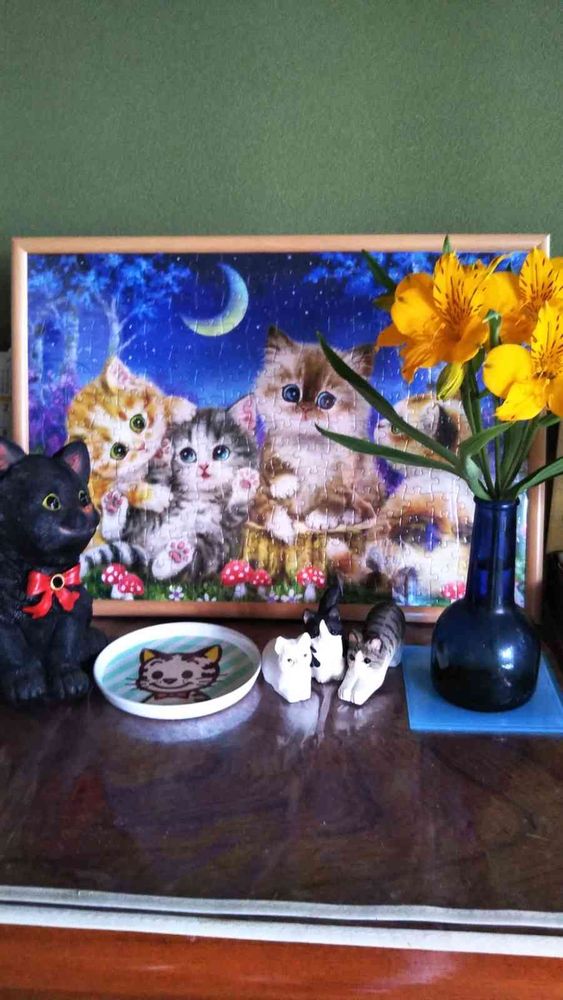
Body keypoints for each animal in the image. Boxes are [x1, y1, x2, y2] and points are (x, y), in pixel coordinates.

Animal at [66, 357, 195, 543]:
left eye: (138, 422)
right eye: (118, 451)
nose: (141, 446)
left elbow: (158, 399)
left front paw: (177, 407)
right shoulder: (94, 484)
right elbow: (127, 488)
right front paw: (158, 497)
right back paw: (113, 509)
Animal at [100, 396, 259, 581]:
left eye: (221, 452)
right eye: (187, 455)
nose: (203, 467)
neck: (201, 496)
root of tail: (149, 554)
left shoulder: (229, 529)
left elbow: (235, 511)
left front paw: (244, 484)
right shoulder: (167, 494)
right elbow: (158, 482)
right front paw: (161, 454)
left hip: (212, 552)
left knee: (180, 569)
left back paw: (174, 556)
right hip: (149, 520)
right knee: (119, 531)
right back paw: (113, 508)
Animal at [251, 326, 383, 547]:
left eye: (326, 401)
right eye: (291, 394)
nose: (305, 408)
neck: (309, 446)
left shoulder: (344, 473)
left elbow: (336, 496)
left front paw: (321, 518)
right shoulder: (259, 485)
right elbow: (270, 504)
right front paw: (285, 490)